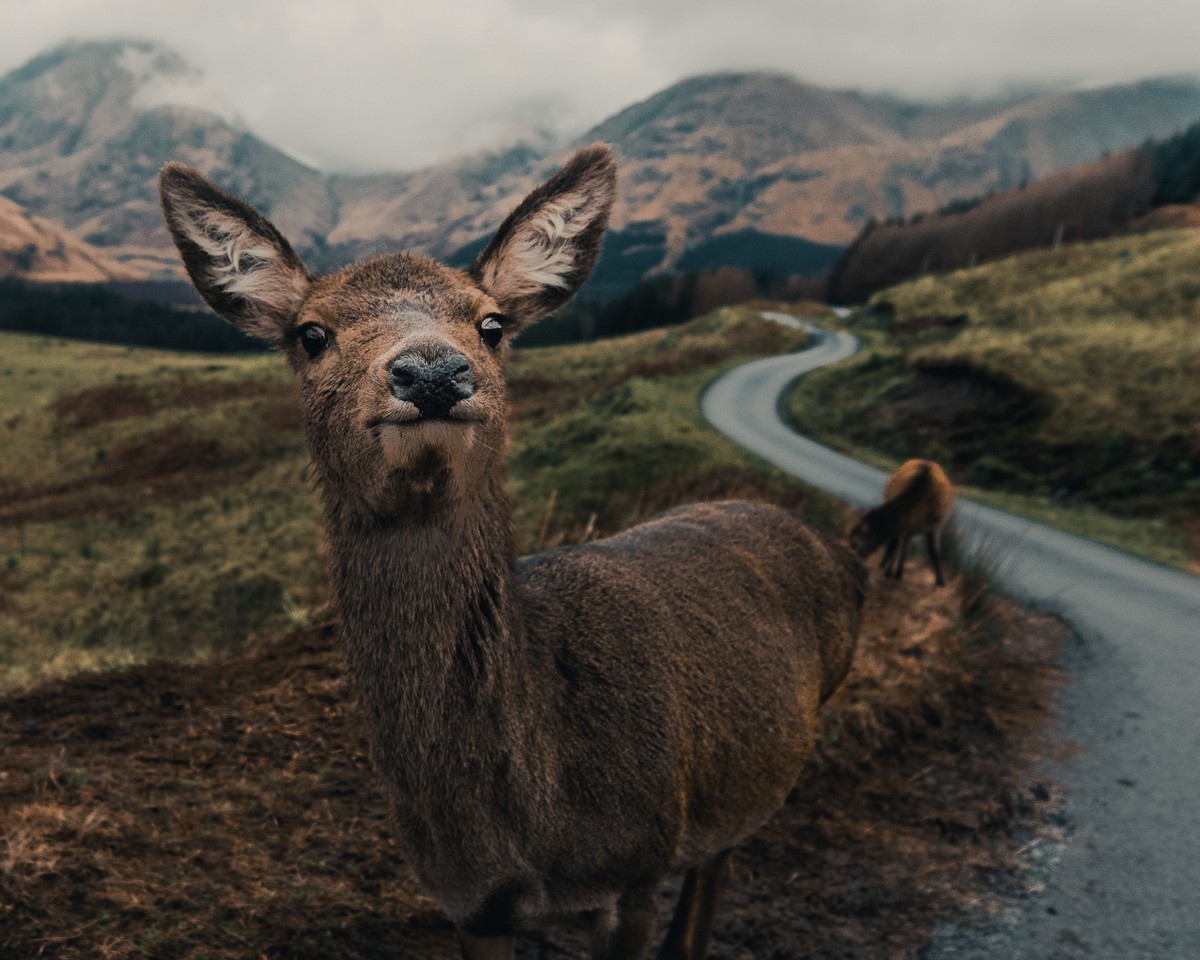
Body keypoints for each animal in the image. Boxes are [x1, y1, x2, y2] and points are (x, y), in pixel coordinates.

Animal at [159, 144, 868, 960]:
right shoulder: (468, 906)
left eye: (492, 324)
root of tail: (841, 551)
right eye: (310, 333)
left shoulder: (639, 864)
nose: (433, 371)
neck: (534, 819)